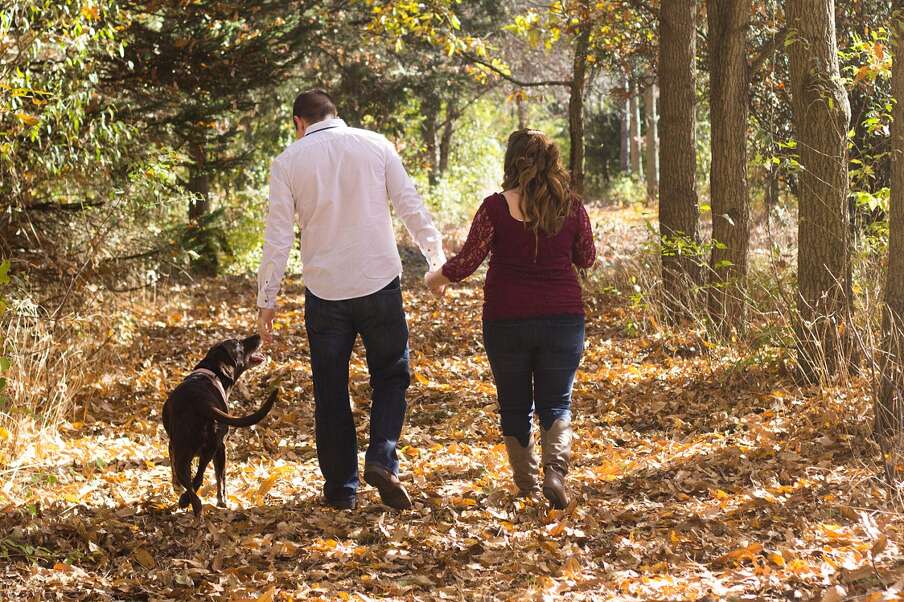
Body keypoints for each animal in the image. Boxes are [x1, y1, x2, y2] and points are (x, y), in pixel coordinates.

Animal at [162, 332, 276, 516]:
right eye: (239, 343)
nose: (258, 334)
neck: (210, 371)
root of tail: (202, 403)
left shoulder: (172, 447)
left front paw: (177, 489)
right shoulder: (220, 448)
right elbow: (220, 477)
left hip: (184, 451)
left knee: (192, 481)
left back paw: (187, 503)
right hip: (213, 448)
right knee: (199, 478)